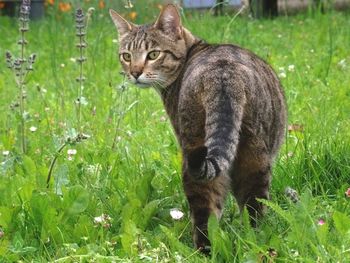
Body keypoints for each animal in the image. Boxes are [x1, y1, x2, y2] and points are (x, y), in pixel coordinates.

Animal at [110, 3, 288, 252]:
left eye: (153, 54)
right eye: (126, 56)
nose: (134, 73)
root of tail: (223, 75)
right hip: (250, 156)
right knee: (247, 211)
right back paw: (250, 242)